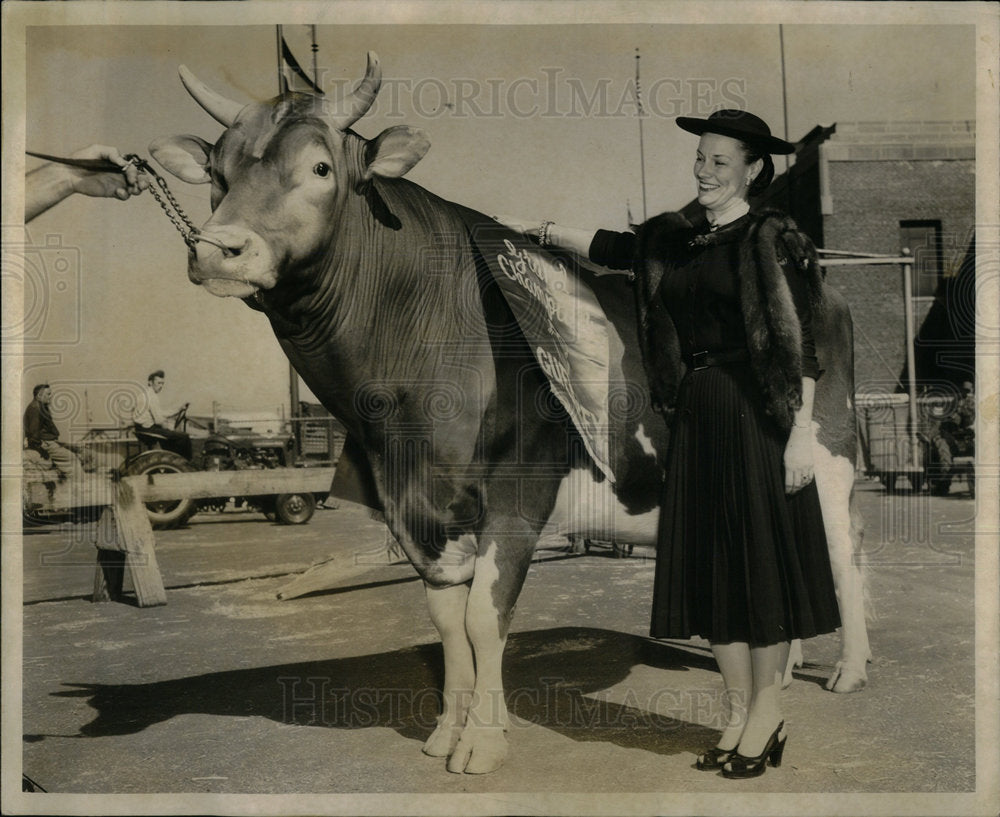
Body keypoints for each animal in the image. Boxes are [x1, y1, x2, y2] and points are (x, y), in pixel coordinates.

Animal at [148, 54, 868, 776]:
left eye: (322, 167)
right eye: (218, 172)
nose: (218, 249)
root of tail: (822, 283)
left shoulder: (519, 492)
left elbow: (483, 617)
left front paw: (483, 741)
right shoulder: (418, 508)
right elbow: (446, 623)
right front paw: (446, 730)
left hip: (826, 457)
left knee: (843, 550)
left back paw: (848, 671)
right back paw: (786, 671)